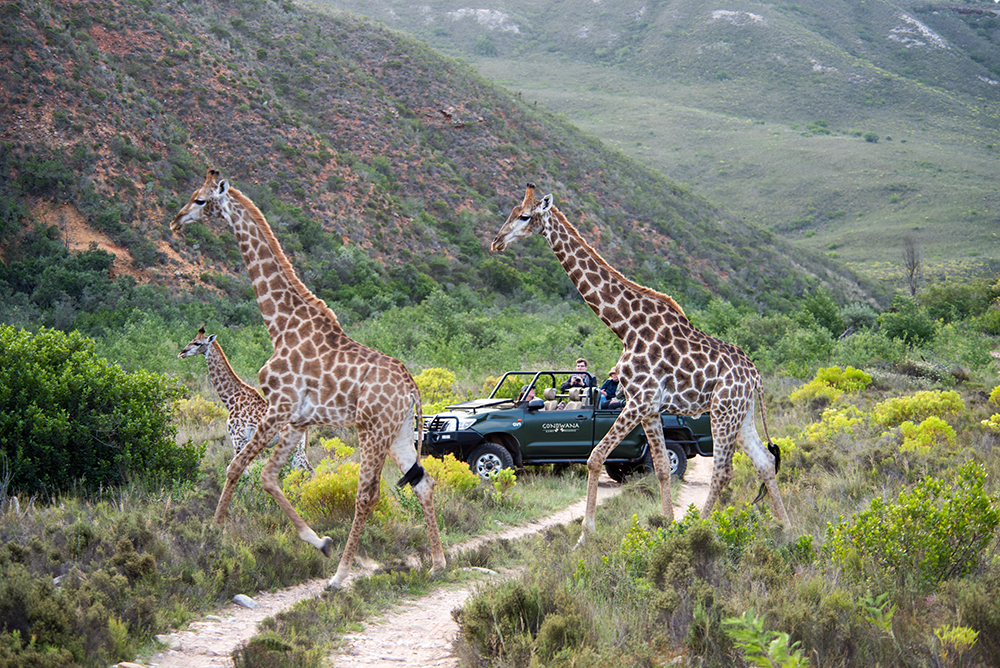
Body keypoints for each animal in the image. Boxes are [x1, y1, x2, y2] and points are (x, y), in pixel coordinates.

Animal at [178, 325, 313, 474]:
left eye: (197, 343)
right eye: (191, 340)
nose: (182, 353)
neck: (231, 399)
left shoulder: (237, 439)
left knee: (307, 469)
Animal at [491, 183, 791, 542]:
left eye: (524, 216)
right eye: (509, 212)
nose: (496, 241)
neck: (625, 326)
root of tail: (756, 375)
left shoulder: (638, 400)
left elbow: (595, 457)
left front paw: (585, 536)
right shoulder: (649, 407)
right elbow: (660, 468)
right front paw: (668, 526)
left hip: (723, 410)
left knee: (723, 470)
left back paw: (701, 528)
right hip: (741, 414)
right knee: (764, 461)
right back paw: (789, 530)